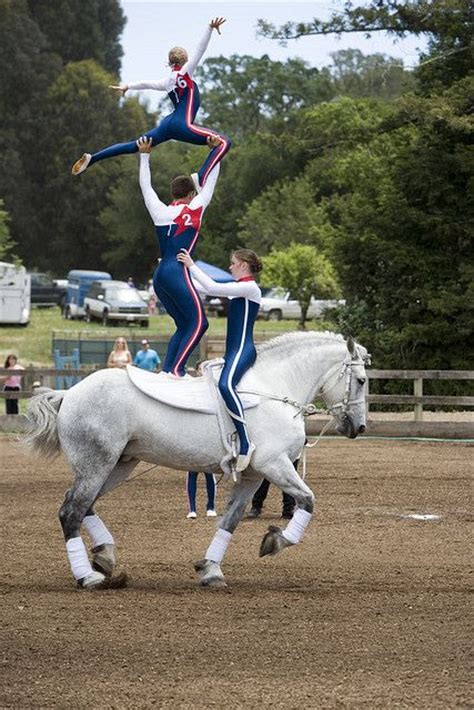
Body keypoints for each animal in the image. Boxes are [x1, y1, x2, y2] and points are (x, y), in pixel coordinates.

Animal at [24, 334, 368, 588]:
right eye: (362, 380)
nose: (359, 427)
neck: (274, 387)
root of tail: (69, 393)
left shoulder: (254, 475)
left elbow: (230, 520)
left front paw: (211, 569)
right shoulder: (275, 465)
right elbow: (308, 500)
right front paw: (276, 541)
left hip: (118, 464)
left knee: (84, 505)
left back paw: (105, 557)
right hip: (97, 464)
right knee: (71, 511)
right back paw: (88, 576)